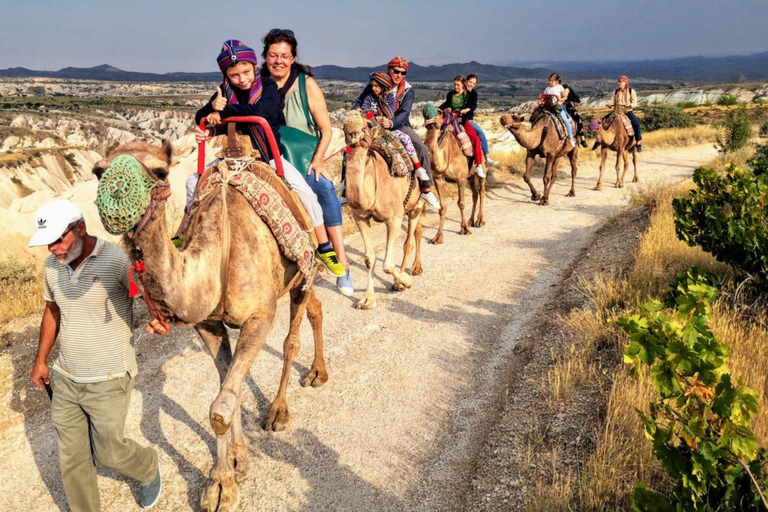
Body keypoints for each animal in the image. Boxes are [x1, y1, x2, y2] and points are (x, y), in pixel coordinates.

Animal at [94, 140, 328, 512]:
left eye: (160, 171)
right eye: (98, 171)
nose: (115, 203)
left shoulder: (260, 316)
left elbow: (220, 408)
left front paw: (221, 487)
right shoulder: (208, 325)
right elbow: (226, 386)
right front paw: (237, 462)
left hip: (302, 268)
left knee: (293, 335)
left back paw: (279, 411)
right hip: (294, 281)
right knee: (316, 308)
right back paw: (318, 373)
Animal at [344, 112, 426, 310]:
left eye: (365, 125)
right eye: (343, 127)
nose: (351, 127)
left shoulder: (393, 218)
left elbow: (387, 265)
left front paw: (404, 281)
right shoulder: (360, 217)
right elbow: (369, 259)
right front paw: (367, 299)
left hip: (416, 204)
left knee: (408, 241)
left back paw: (403, 278)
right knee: (417, 232)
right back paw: (415, 269)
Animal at [420, 109, 486, 245]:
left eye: (438, 114)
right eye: (425, 119)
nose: (429, 120)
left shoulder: (461, 178)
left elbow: (461, 203)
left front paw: (464, 229)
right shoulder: (439, 178)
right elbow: (442, 207)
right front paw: (437, 237)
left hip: (481, 167)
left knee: (482, 190)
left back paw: (479, 220)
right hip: (470, 176)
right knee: (475, 193)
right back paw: (471, 221)